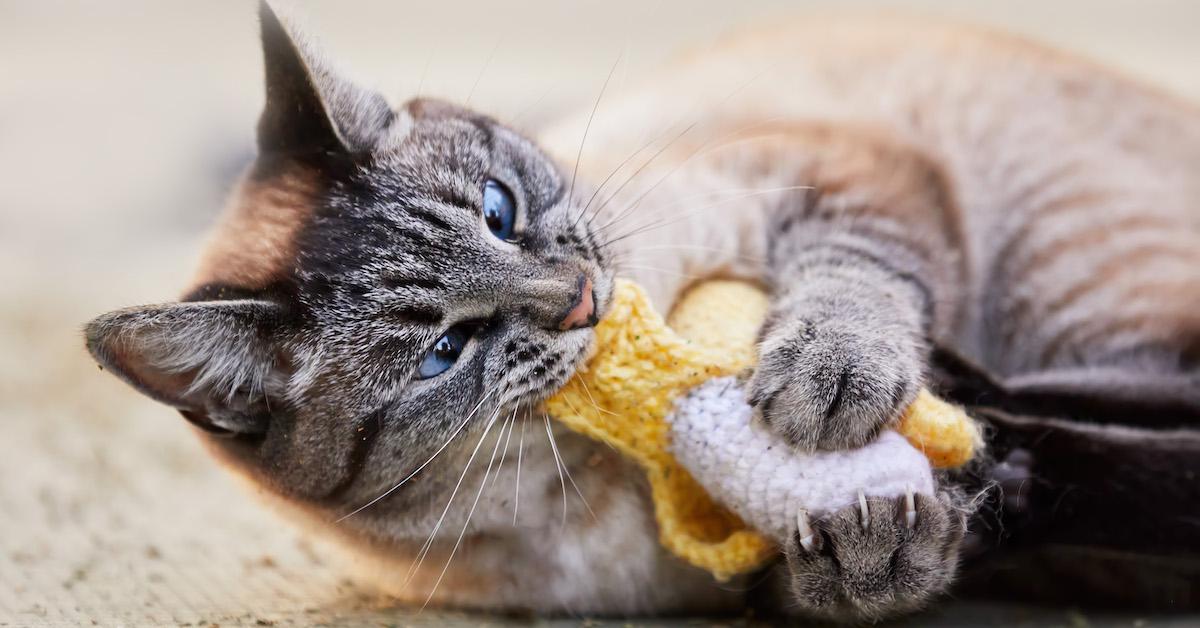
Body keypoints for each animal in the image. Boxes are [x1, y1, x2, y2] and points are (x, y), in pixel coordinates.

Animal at [84, 1, 1200, 624]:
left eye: (500, 210)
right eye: (445, 351)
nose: (580, 298)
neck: (586, 477)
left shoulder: (845, 174)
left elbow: (852, 284)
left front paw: (826, 384)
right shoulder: (746, 589)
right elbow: (838, 584)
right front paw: (882, 545)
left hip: (1071, 276)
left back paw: (988, 418)